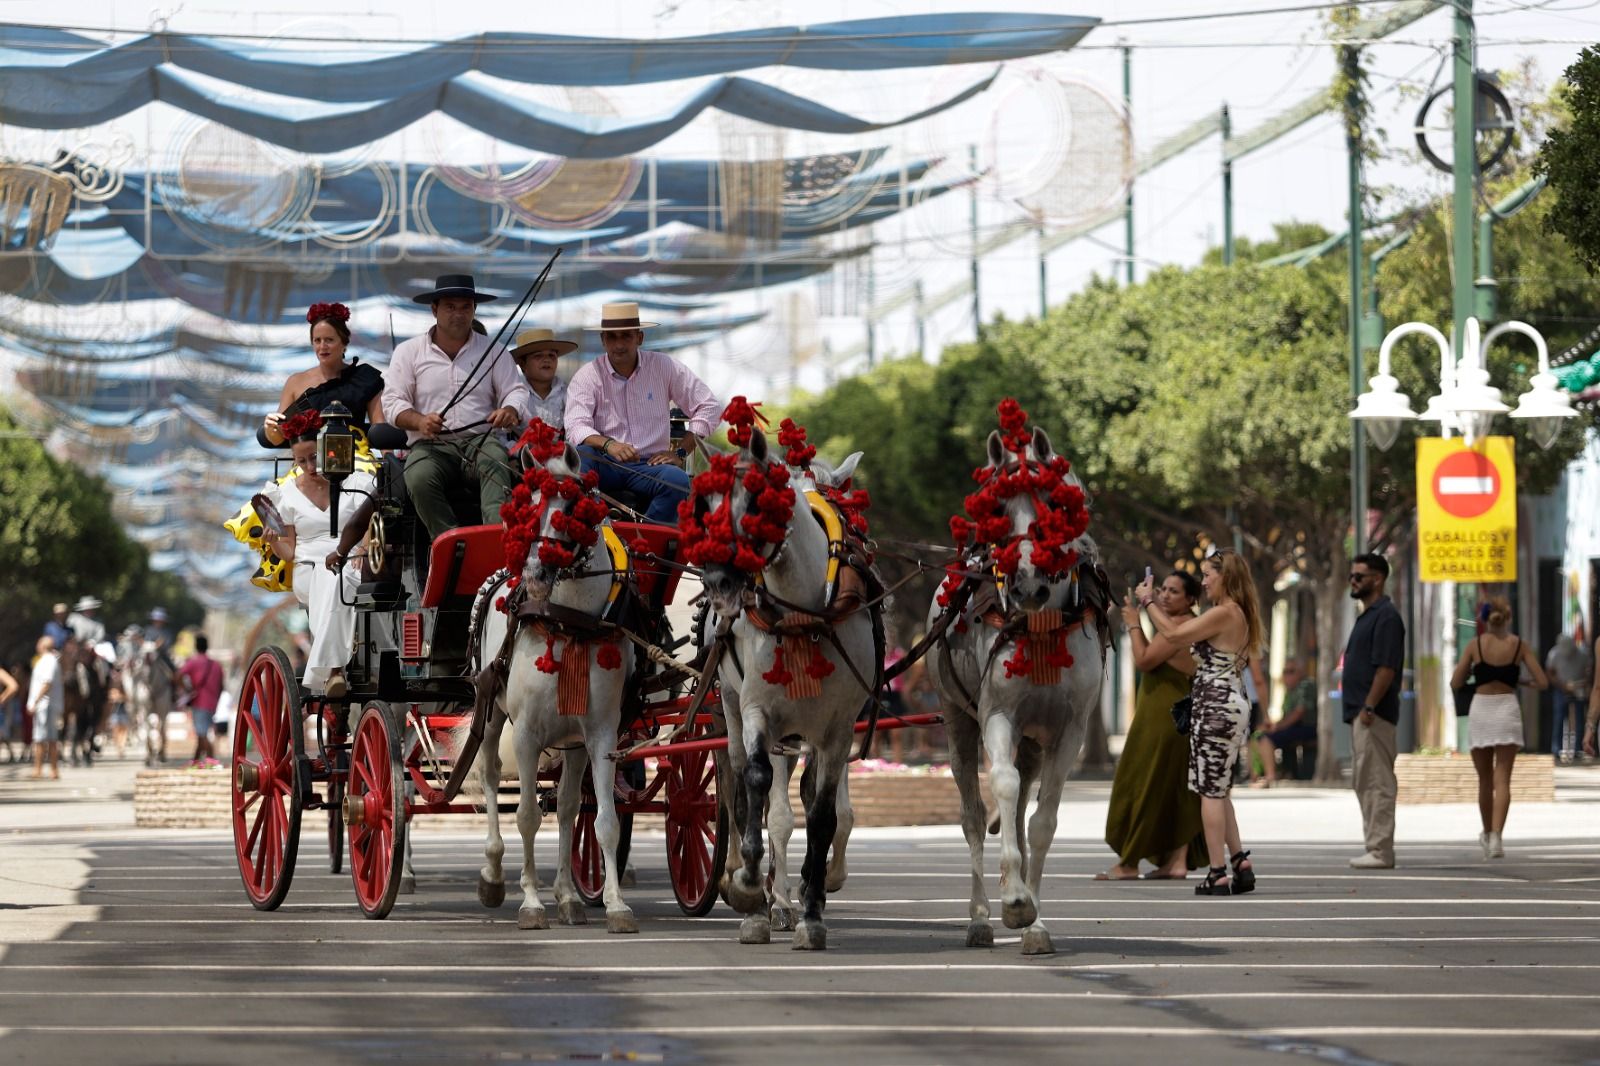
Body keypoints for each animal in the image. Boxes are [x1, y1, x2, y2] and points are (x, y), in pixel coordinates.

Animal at [467, 438, 636, 928]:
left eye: (573, 506)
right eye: (526, 506)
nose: (537, 572)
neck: (571, 623)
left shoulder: (601, 735)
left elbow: (602, 822)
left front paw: (615, 904)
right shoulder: (525, 733)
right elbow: (525, 816)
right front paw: (530, 901)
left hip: (573, 743)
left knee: (566, 807)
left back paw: (568, 895)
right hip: (491, 713)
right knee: (489, 777)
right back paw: (494, 873)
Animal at [700, 425, 876, 947]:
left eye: (756, 500)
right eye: (707, 505)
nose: (718, 581)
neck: (802, 613)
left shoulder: (838, 726)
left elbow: (825, 812)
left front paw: (815, 902)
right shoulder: (761, 713)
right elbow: (762, 793)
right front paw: (753, 891)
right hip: (731, 708)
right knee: (741, 786)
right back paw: (755, 892)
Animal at [934, 425, 1107, 953]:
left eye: (1053, 501)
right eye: (995, 508)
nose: (1028, 585)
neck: (1041, 624)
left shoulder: (1071, 729)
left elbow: (1043, 820)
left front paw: (1035, 920)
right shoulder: (998, 716)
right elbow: (1005, 789)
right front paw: (1013, 901)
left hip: (1034, 739)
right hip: (957, 718)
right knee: (973, 815)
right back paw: (979, 917)